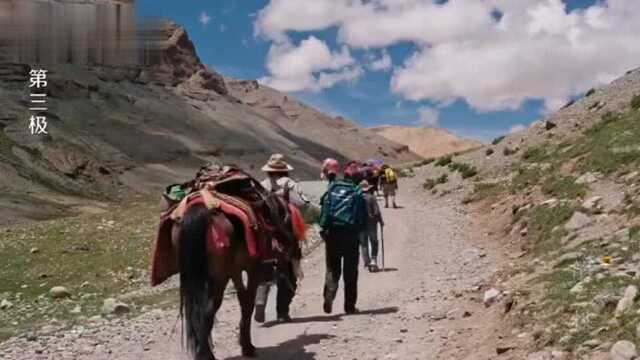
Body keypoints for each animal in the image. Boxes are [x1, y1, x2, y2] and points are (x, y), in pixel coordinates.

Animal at [152, 164, 308, 360]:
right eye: (288, 221)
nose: (296, 251)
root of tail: (200, 208)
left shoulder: (235, 271)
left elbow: (242, 298)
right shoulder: (252, 269)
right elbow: (247, 302)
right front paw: (247, 347)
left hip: (194, 273)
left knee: (196, 310)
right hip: (219, 276)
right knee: (209, 308)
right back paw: (206, 354)